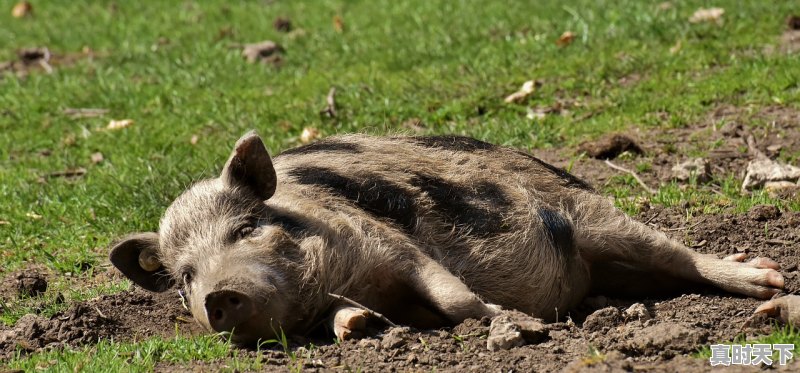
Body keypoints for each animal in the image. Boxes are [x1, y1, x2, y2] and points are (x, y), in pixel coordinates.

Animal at [109, 131, 784, 342]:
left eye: (247, 227)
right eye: (184, 279)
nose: (217, 295)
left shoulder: (390, 242)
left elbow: (453, 294)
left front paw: (510, 322)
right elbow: (344, 320)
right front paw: (360, 328)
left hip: (597, 216)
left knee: (683, 256)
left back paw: (766, 279)